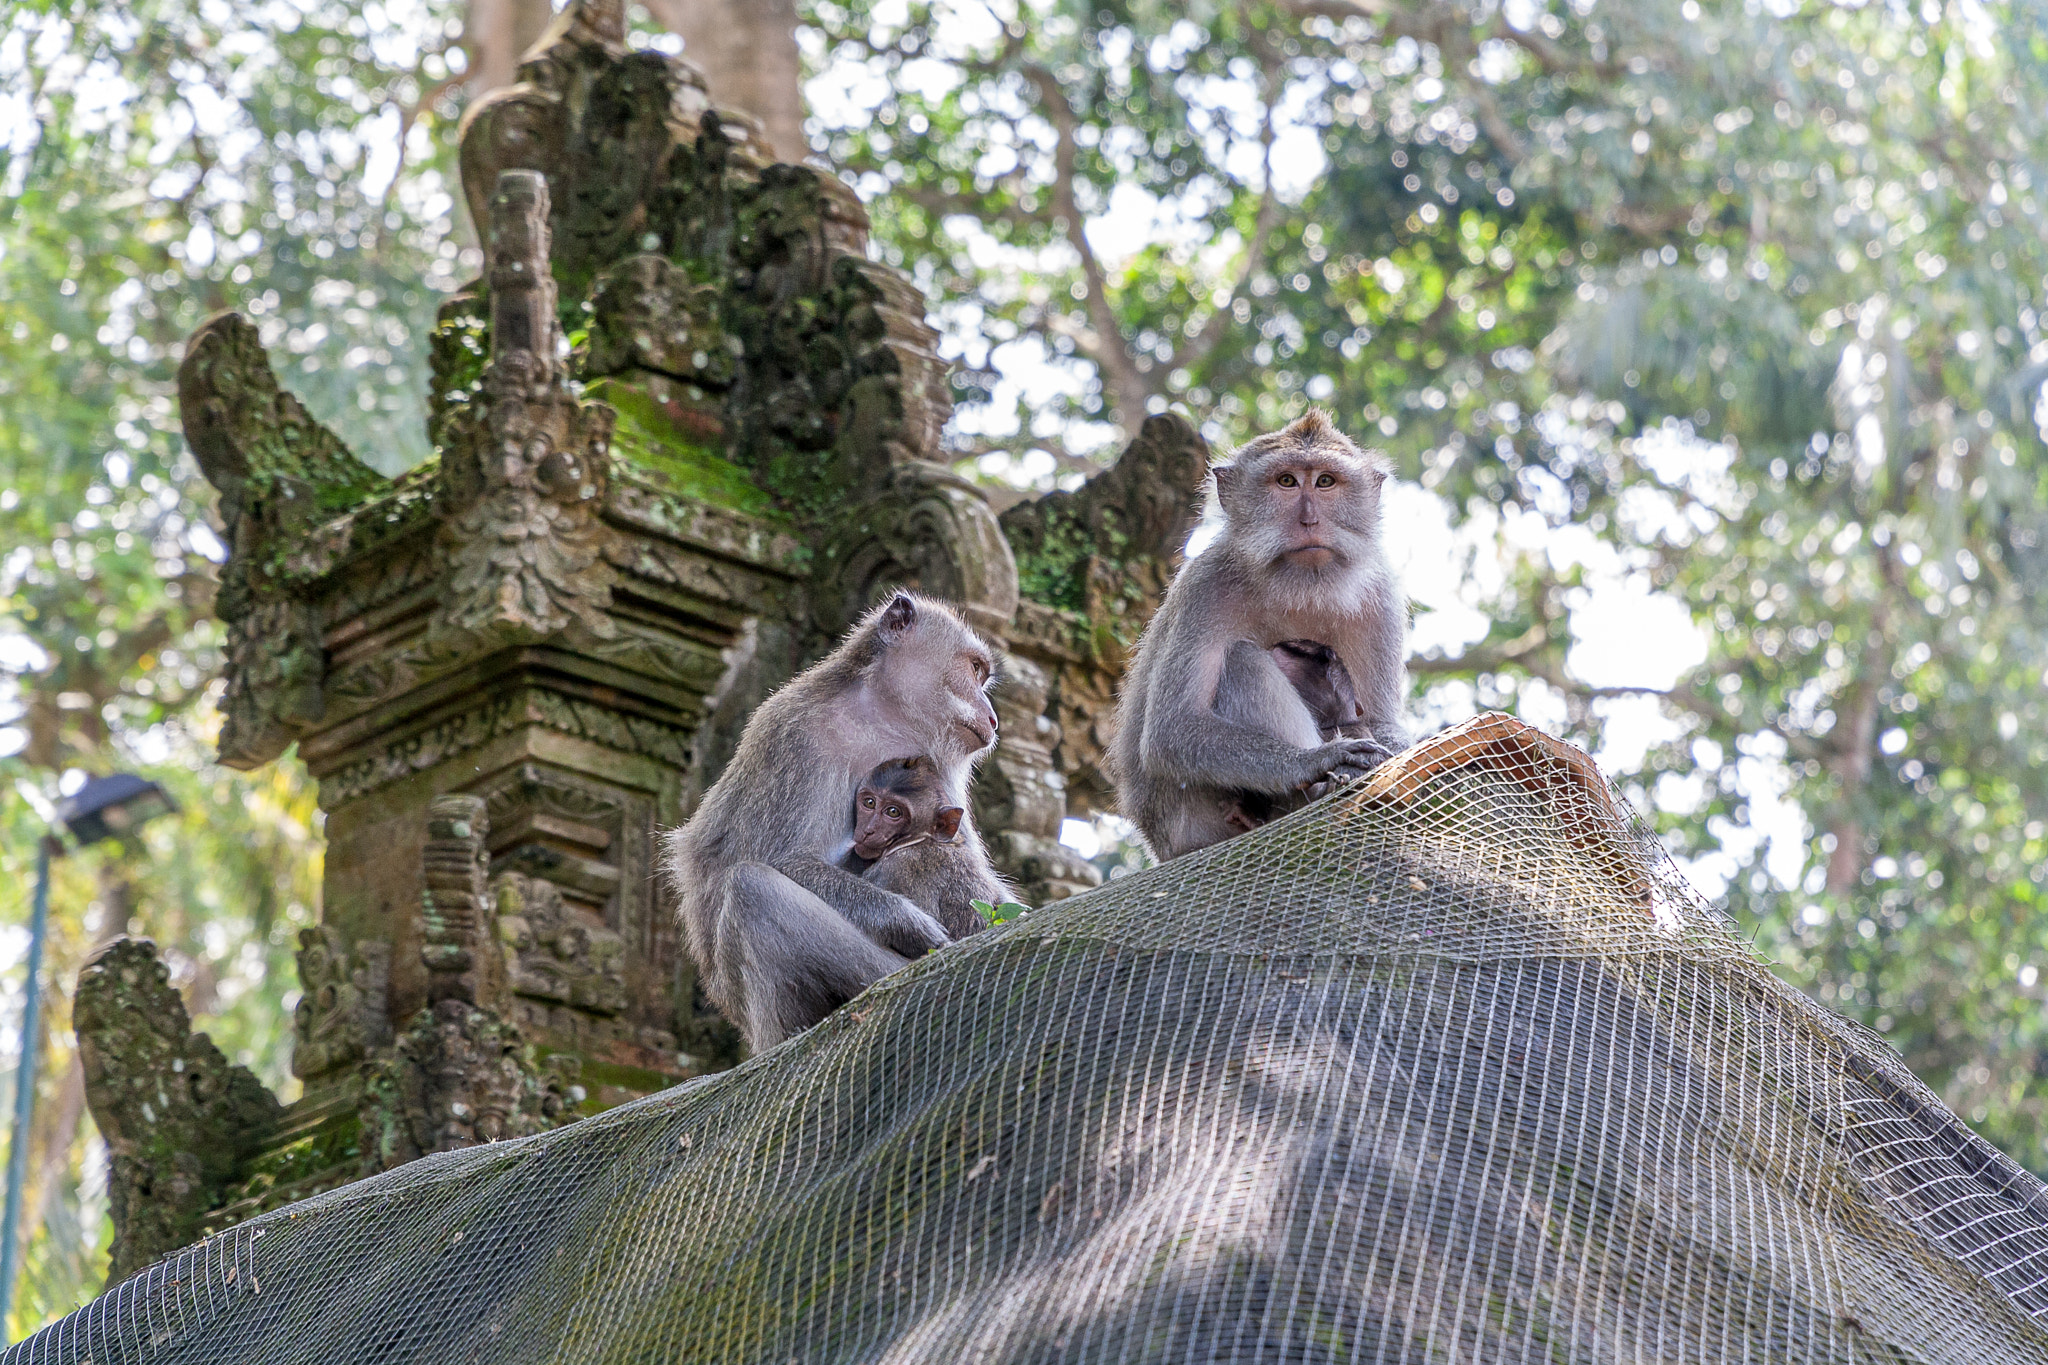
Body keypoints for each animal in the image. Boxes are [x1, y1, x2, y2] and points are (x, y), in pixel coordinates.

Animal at [1111, 408, 1411, 862]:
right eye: (1286, 481)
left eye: (1325, 482)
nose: (1309, 520)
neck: (1296, 586)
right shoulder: (1206, 586)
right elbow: (1172, 730)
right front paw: (1313, 762)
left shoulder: (1381, 599)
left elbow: (1379, 720)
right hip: (1188, 821)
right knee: (1241, 660)